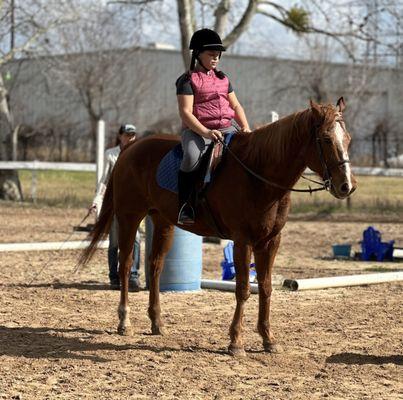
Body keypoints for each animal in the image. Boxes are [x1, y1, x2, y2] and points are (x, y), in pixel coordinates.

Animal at [79, 99, 356, 356]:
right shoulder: (243, 241)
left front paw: (268, 339)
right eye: (326, 139)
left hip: (163, 221)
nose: (347, 186)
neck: (258, 174)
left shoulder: (270, 241)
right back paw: (124, 321)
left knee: (155, 267)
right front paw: (236, 342)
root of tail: (130, 148)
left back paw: (157, 323)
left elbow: (265, 288)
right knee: (125, 265)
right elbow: (243, 289)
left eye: (348, 139)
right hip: (129, 216)